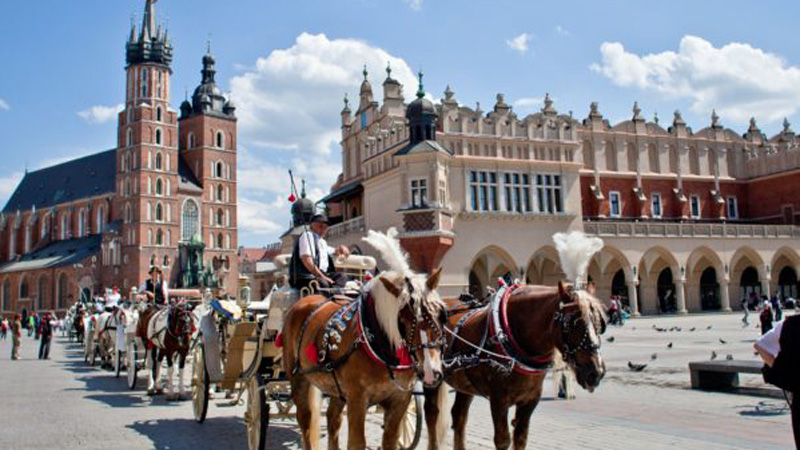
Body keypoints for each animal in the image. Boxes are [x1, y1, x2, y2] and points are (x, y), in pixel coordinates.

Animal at [281, 228, 449, 450]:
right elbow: (357, 442)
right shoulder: (357, 399)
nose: (431, 372)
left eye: (441, 315)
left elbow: (390, 441)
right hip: (298, 379)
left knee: (333, 419)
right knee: (306, 422)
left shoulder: (400, 399)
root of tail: (305, 299)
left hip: (335, 387)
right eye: (403, 319)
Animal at [423, 282, 607, 450]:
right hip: (431, 376)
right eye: (574, 323)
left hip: (465, 384)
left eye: (599, 323)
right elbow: (503, 440)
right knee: (431, 414)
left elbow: (520, 438)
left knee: (459, 416)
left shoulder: (531, 399)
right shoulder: (498, 400)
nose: (596, 372)